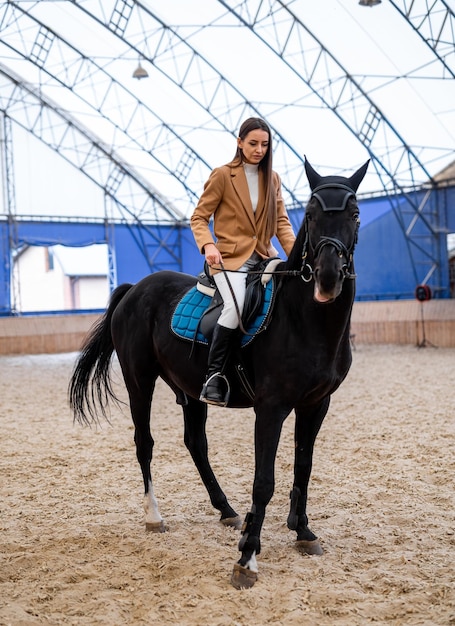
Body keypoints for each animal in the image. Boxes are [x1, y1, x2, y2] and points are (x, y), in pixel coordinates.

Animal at [70, 156, 370, 584]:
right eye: (311, 215)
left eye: (356, 215)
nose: (328, 278)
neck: (304, 319)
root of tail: (135, 288)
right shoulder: (272, 407)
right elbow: (264, 481)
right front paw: (247, 558)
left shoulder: (316, 404)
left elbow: (304, 466)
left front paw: (302, 531)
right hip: (138, 380)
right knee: (144, 443)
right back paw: (154, 517)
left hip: (189, 387)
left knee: (196, 443)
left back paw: (226, 510)